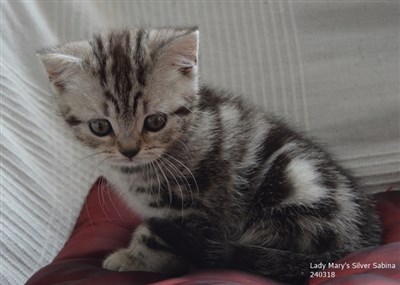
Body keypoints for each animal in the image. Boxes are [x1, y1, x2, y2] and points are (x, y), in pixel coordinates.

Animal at [39, 27, 382, 282]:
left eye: (155, 121)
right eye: (100, 126)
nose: (129, 151)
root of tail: (360, 243)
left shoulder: (190, 205)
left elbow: (158, 237)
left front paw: (133, 258)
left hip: (294, 192)